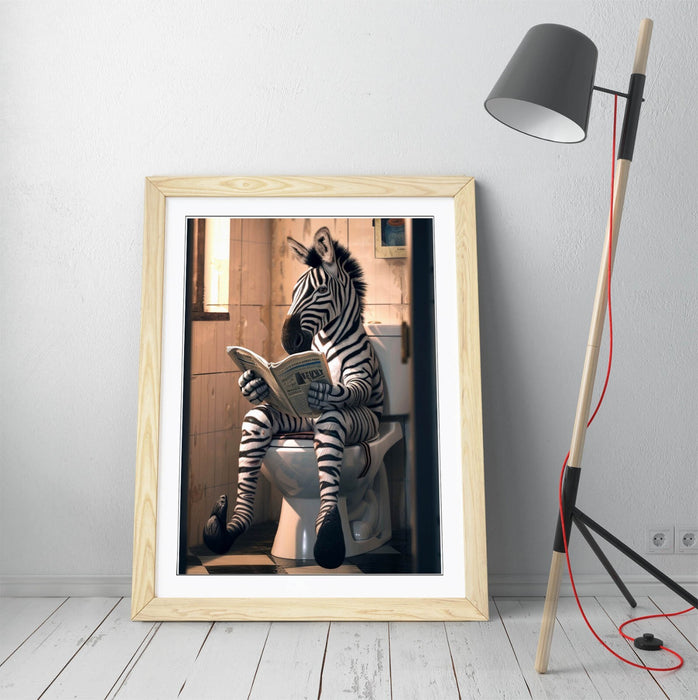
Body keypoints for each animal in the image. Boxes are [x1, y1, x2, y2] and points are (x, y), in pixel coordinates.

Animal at [203, 226, 384, 569]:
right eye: (294, 291)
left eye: (320, 290)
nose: (289, 341)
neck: (327, 341)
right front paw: (251, 383)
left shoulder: (360, 375)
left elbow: (356, 387)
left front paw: (325, 391)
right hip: (291, 422)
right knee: (257, 417)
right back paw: (223, 532)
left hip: (357, 423)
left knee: (331, 425)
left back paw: (328, 542)